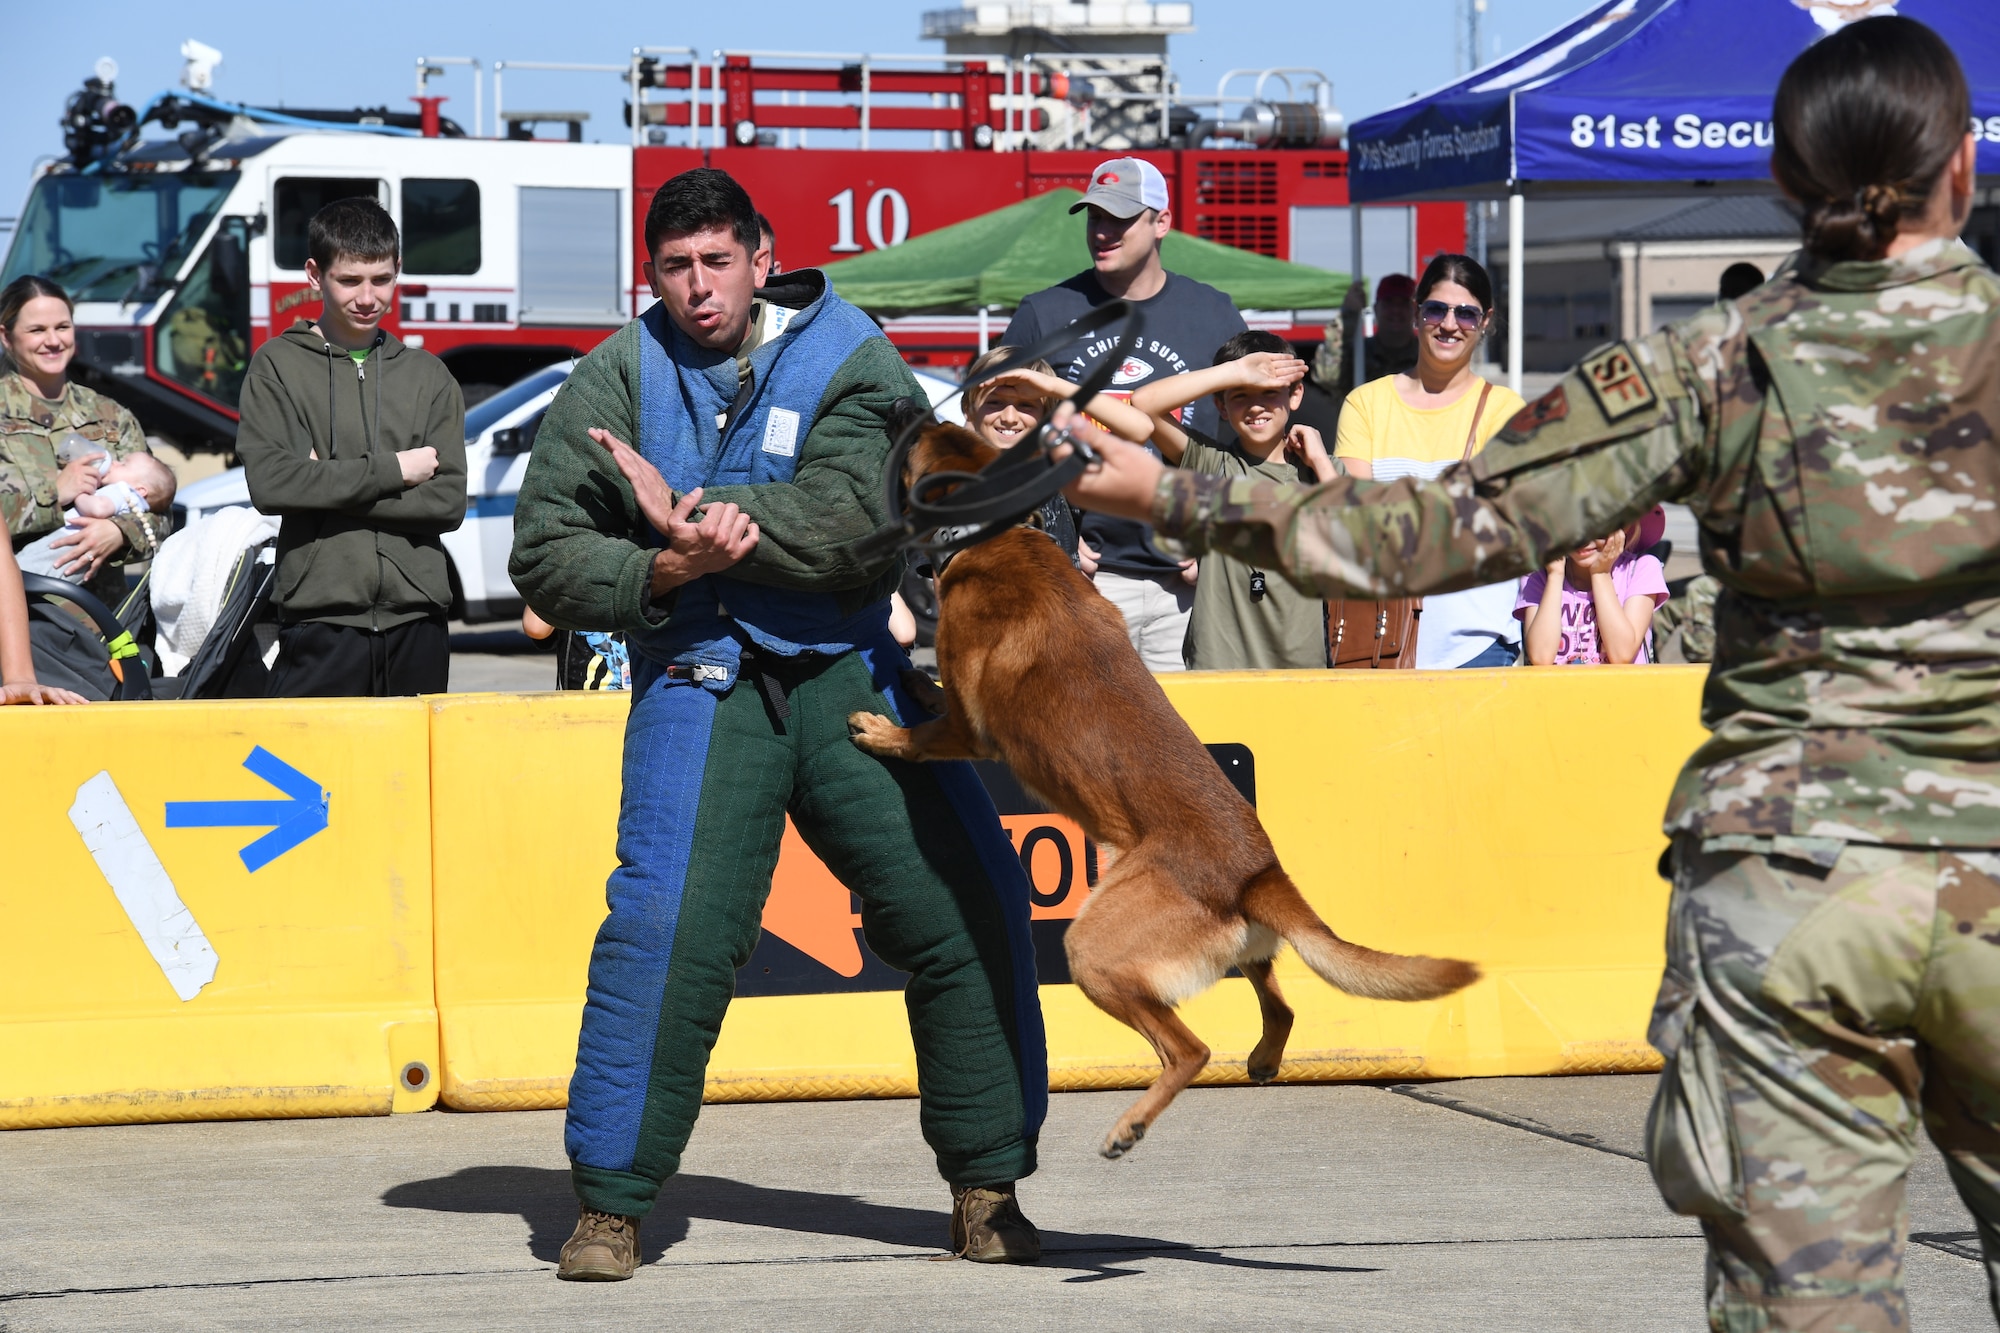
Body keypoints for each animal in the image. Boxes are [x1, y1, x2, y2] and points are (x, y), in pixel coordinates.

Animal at [852, 422, 1480, 1152]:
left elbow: (924, 735)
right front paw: (915, 684)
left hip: (1093, 951)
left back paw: (1131, 1124)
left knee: (1190, 1048)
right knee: (1281, 1006)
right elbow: (932, 697)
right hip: (1241, 952)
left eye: (921, 445)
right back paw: (1262, 1060)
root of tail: (1258, 873)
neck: (997, 533)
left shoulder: (969, 730)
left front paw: (883, 731)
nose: (904, 408)